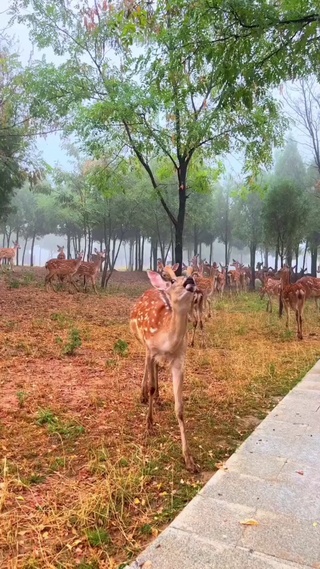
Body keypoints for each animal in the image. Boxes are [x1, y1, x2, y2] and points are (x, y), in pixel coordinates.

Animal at [130, 268, 200, 472]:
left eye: (194, 275)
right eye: (175, 280)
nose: (190, 280)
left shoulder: (179, 360)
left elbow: (180, 407)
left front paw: (189, 460)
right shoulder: (151, 349)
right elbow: (152, 385)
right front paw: (149, 424)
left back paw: (159, 398)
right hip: (141, 342)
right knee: (146, 368)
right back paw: (143, 395)